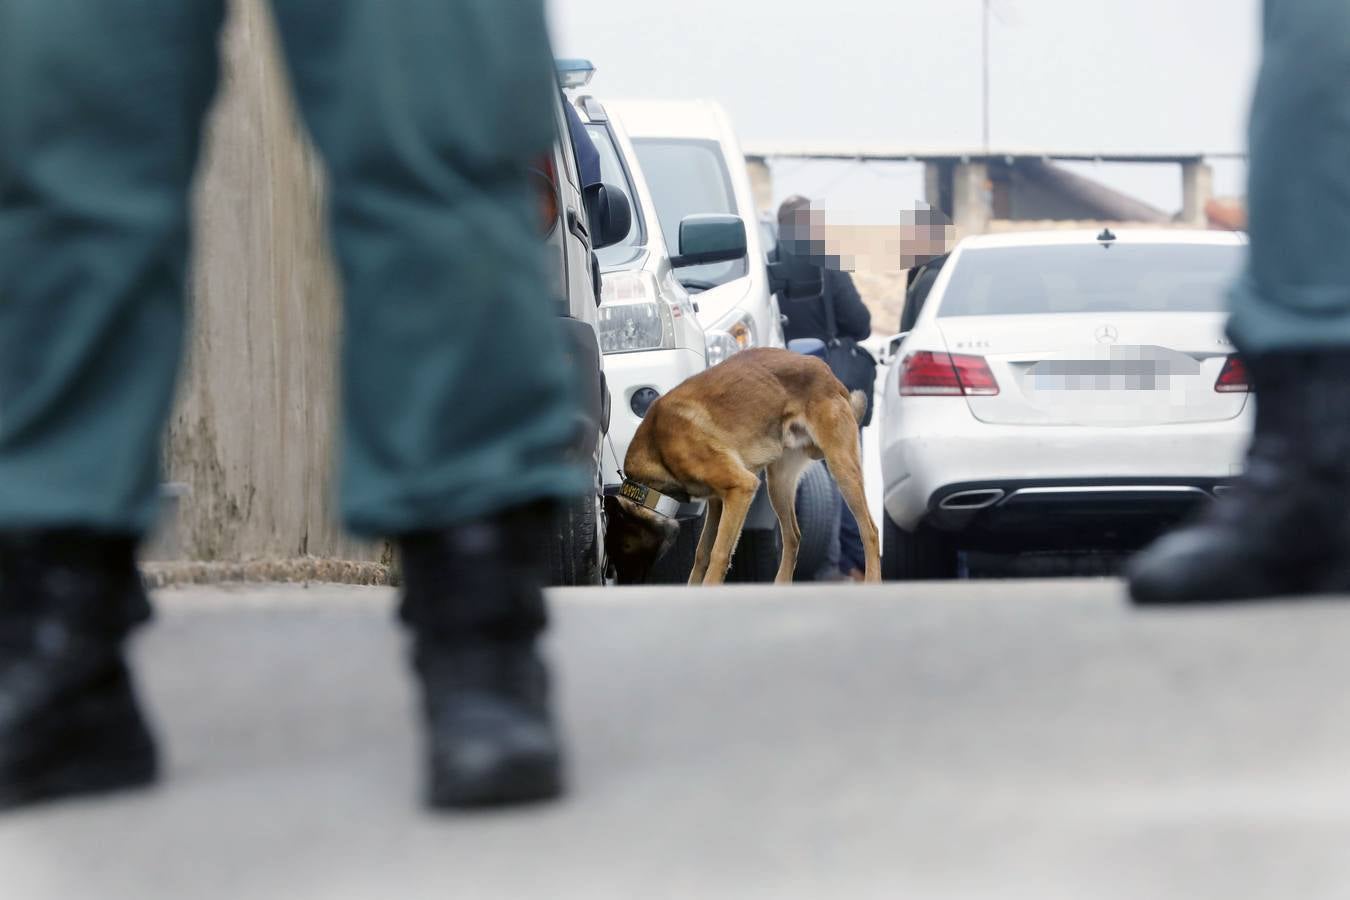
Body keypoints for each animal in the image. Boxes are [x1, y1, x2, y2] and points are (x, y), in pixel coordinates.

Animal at [604, 345, 880, 585]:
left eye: (624, 547)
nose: (624, 584)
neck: (657, 448)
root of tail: (828, 373)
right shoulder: (717, 502)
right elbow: (702, 553)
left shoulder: (740, 488)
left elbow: (718, 553)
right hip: (778, 485)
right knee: (792, 536)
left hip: (841, 469)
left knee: (870, 531)